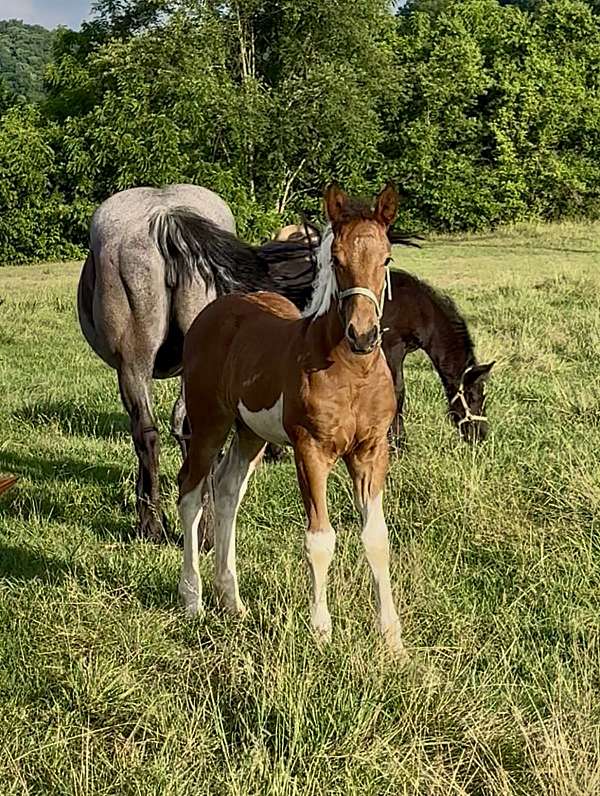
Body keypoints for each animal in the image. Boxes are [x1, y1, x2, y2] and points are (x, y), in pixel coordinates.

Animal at [77, 184, 315, 541]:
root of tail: (166, 217)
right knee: (195, 434)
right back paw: (204, 529)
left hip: (134, 364)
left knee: (146, 432)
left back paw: (152, 524)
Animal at [177, 183, 404, 652]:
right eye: (336, 260)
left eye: (387, 258)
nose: (363, 335)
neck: (351, 371)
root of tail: (215, 311)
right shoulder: (311, 451)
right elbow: (320, 539)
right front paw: (321, 631)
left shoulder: (371, 452)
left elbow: (377, 538)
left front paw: (392, 638)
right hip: (210, 423)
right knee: (190, 494)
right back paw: (193, 600)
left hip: (249, 433)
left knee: (227, 492)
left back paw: (233, 602)